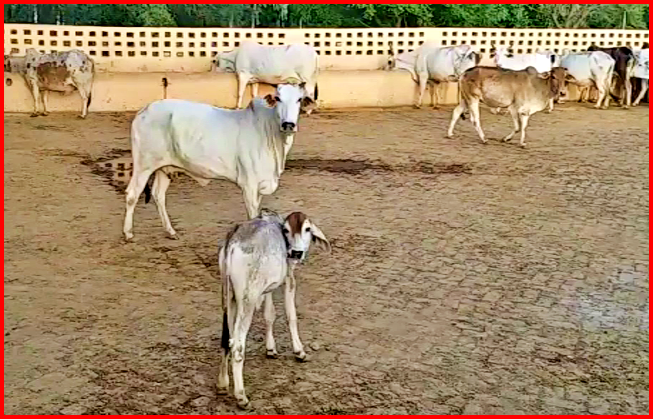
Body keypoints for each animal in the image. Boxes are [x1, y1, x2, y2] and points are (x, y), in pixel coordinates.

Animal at [123, 83, 314, 243]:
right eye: (278, 98)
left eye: (299, 99)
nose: (288, 125)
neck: (269, 131)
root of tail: (144, 111)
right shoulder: (249, 185)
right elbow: (252, 216)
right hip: (143, 165)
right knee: (132, 194)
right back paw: (128, 233)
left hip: (164, 168)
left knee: (158, 195)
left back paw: (170, 231)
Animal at [218, 210, 332, 410]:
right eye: (285, 230)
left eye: (307, 229)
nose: (296, 252)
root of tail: (233, 238)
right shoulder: (289, 278)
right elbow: (290, 315)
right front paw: (299, 351)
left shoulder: (268, 288)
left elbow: (269, 314)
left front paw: (270, 348)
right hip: (247, 299)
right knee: (237, 346)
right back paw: (241, 396)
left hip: (228, 295)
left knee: (226, 338)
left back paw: (223, 383)